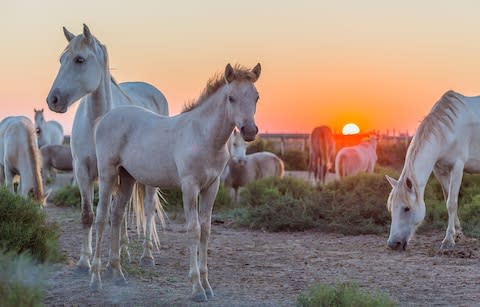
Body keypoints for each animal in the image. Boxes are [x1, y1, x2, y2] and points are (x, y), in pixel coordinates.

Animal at [45, 25, 169, 274]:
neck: (97, 126)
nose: (53, 99)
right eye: (61, 59)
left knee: (148, 208)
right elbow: (89, 215)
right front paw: (84, 262)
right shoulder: (83, 172)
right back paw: (124, 251)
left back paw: (146, 255)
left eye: (79, 59)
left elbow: (113, 215)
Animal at [92, 63, 260, 302]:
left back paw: (117, 273)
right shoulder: (190, 187)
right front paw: (197, 288)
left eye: (256, 97)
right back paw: (95, 279)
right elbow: (193, 230)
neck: (204, 136)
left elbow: (206, 230)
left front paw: (207, 285)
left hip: (127, 177)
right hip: (107, 174)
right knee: (101, 217)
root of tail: (105, 118)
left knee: (116, 215)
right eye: (231, 98)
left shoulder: (212, 187)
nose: (250, 131)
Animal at [386, 90, 480, 251]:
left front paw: (448, 240)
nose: (393, 244)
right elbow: (448, 198)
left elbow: (452, 203)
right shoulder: (440, 170)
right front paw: (458, 234)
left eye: (406, 209)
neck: (449, 131)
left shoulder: (458, 167)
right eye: (391, 208)